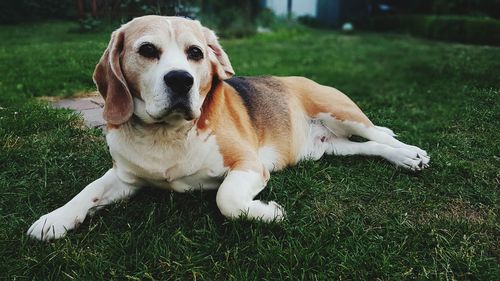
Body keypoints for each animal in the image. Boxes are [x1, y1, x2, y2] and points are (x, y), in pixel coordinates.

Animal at [26, 15, 430, 240]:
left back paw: (411, 153)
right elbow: (88, 192)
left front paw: (270, 212)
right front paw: (54, 220)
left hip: (341, 111)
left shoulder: (249, 165)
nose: (181, 80)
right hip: (331, 146)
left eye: (196, 53)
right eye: (147, 50)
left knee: (378, 134)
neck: (168, 134)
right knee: (372, 147)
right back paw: (404, 160)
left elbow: (227, 199)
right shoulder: (125, 178)